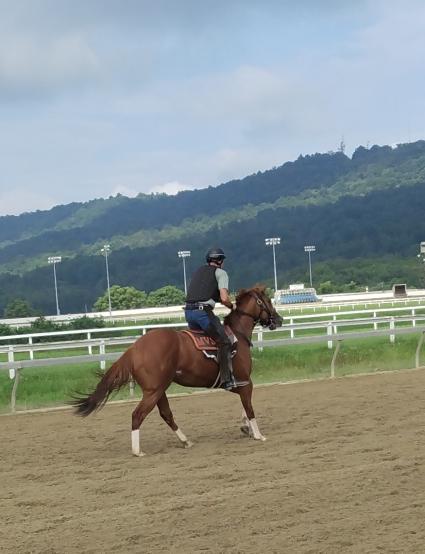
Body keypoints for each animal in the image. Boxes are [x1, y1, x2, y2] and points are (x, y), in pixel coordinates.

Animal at [73, 284, 282, 452]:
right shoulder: (245, 381)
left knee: (166, 414)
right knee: (137, 415)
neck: (237, 335)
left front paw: (246, 428)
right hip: (154, 391)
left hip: (158, 390)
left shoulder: (238, 384)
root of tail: (134, 348)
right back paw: (137, 451)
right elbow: (249, 407)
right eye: (268, 300)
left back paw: (185, 441)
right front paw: (258, 434)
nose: (278, 320)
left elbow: (245, 406)